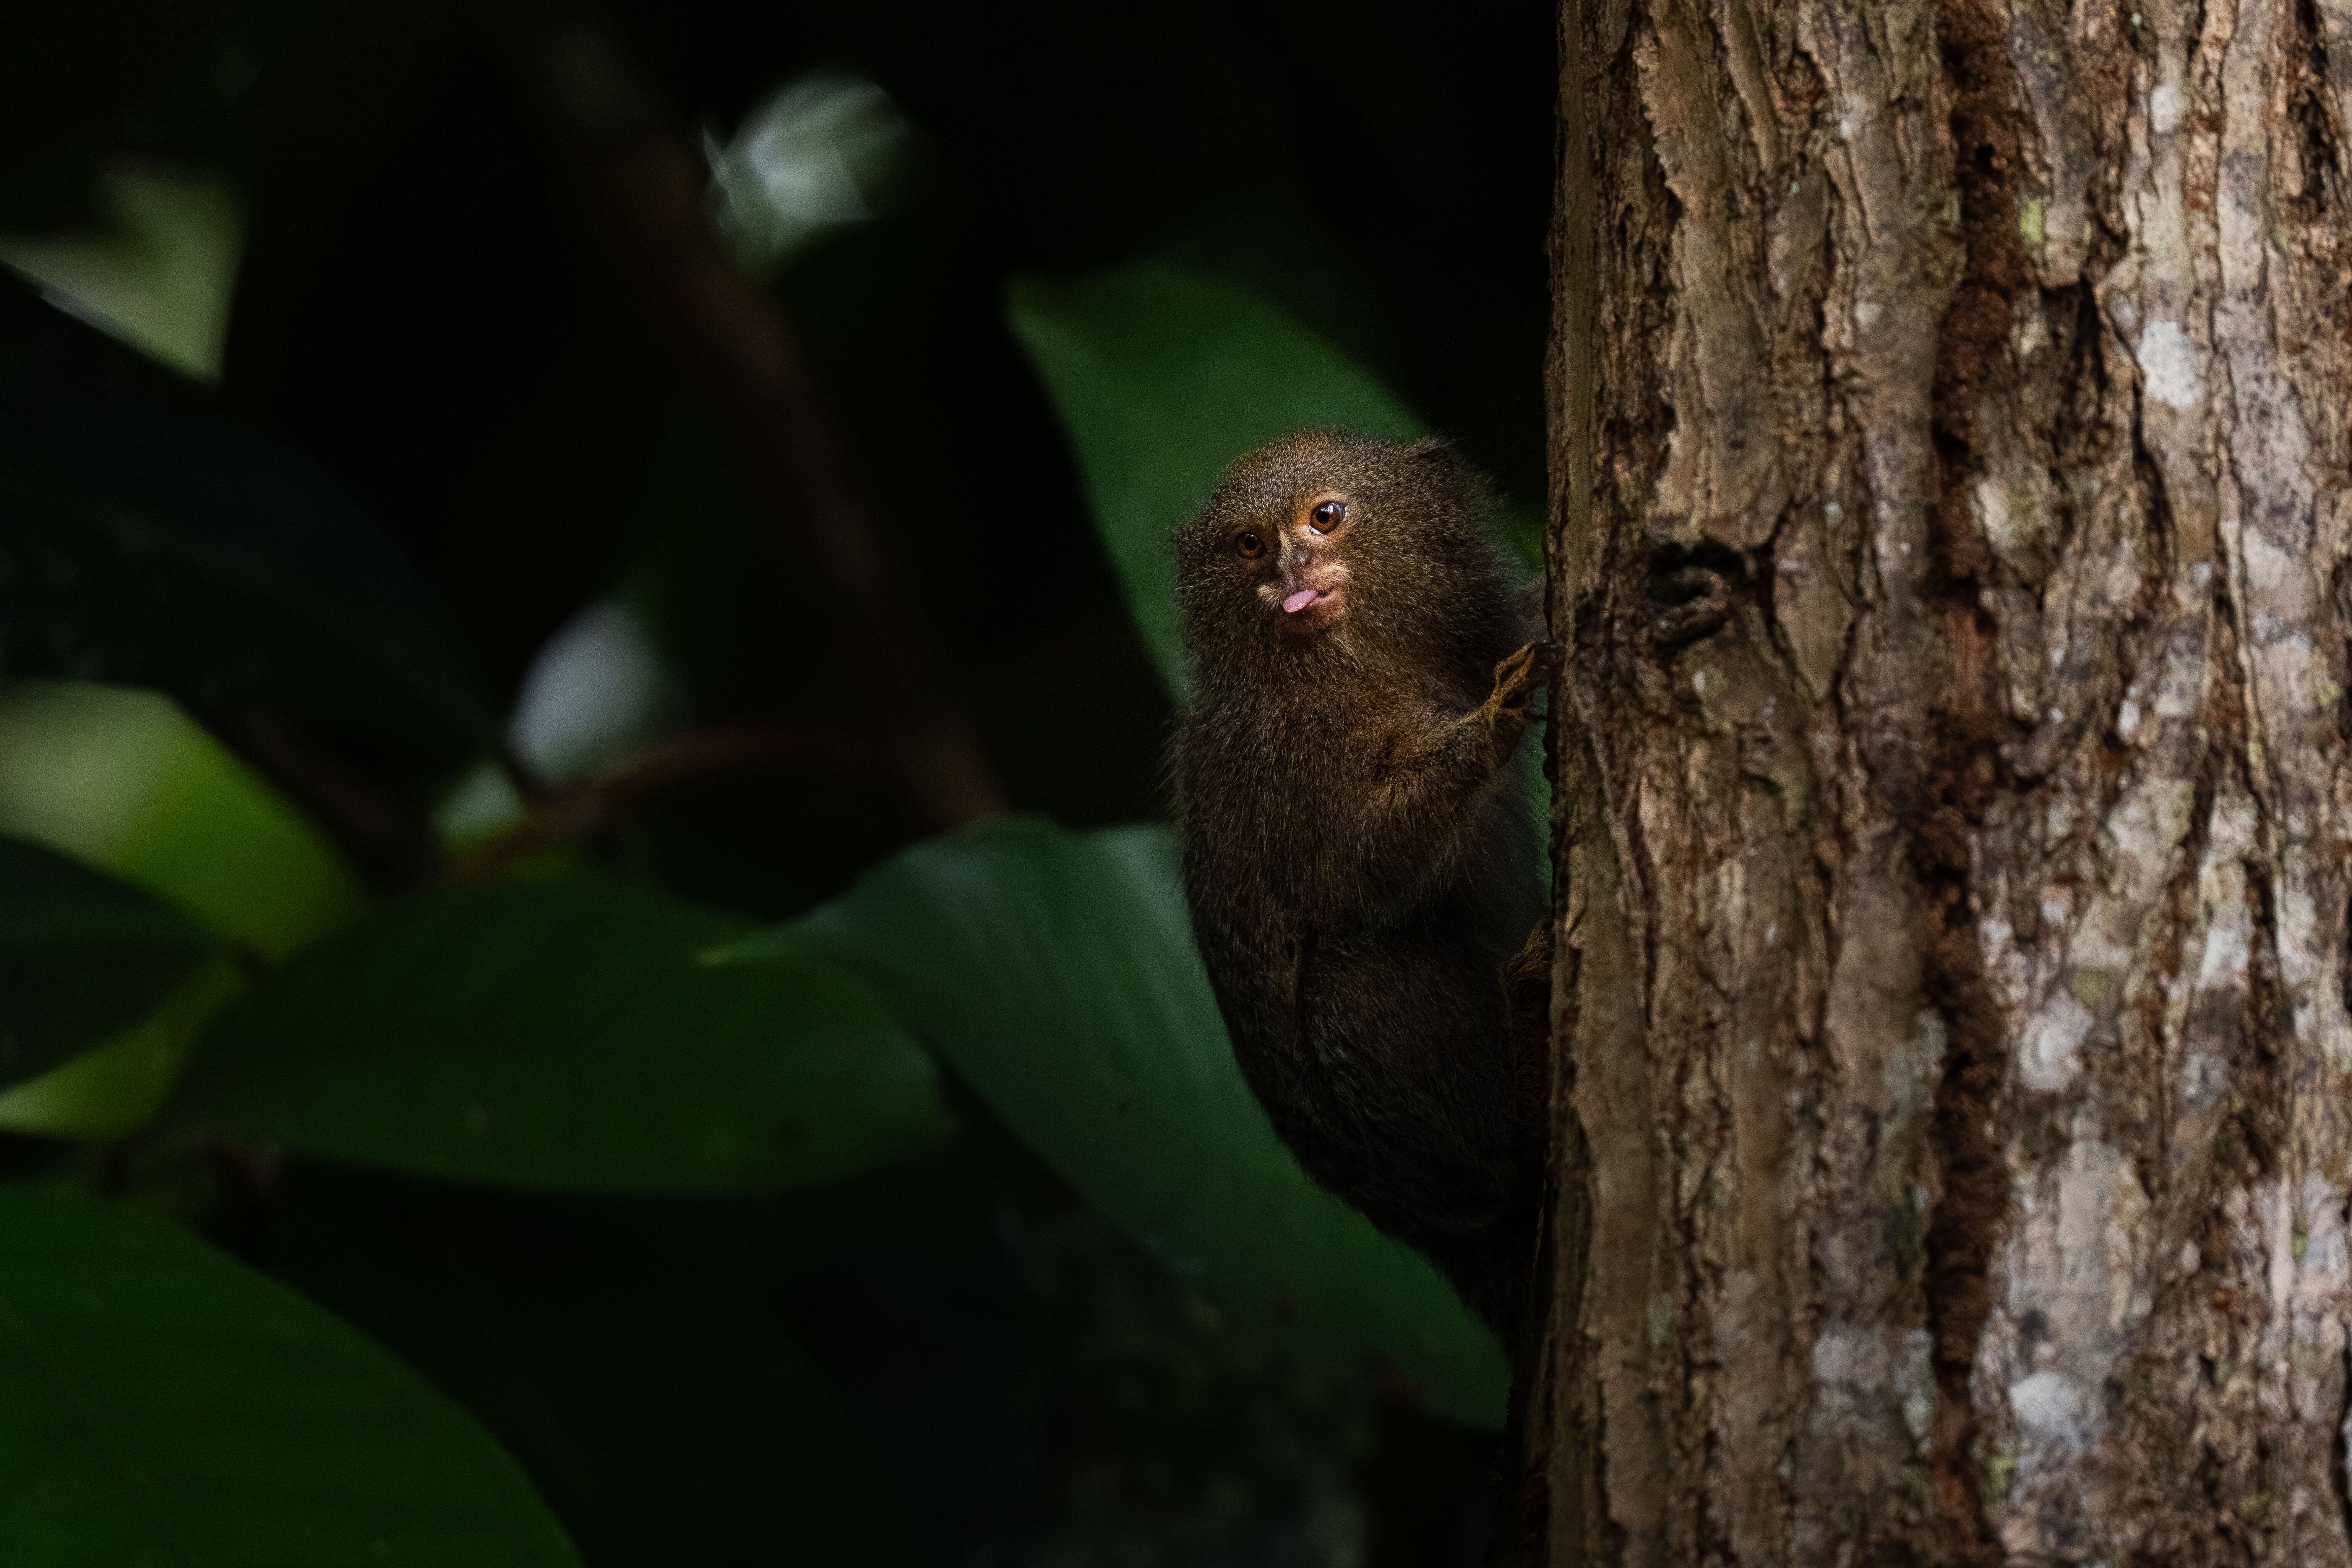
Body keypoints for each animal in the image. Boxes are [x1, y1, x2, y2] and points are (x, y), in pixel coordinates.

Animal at [1169, 428, 1560, 1343]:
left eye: (1325, 516)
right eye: (1250, 545)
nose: (1291, 568)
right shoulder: (1290, 745)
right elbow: (1363, 868)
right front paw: (1485, 728)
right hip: (1433, 1165)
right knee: (1353, 970)